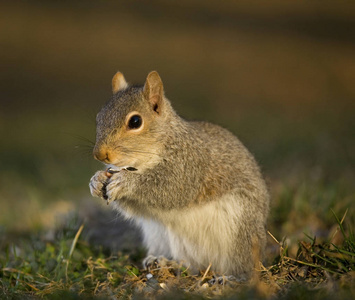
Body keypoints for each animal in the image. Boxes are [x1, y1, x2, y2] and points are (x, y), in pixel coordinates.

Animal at [89, 70, 270, 278]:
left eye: (135, 121)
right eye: (99, 117)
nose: (100, 154)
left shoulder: (189, 167)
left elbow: (169, 190)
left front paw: (126, 182)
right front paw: (96, 181)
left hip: (239, 230)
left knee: (243, 265)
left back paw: (230, 277)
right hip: (161, 237)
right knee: (190, 265)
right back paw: (164, 262)